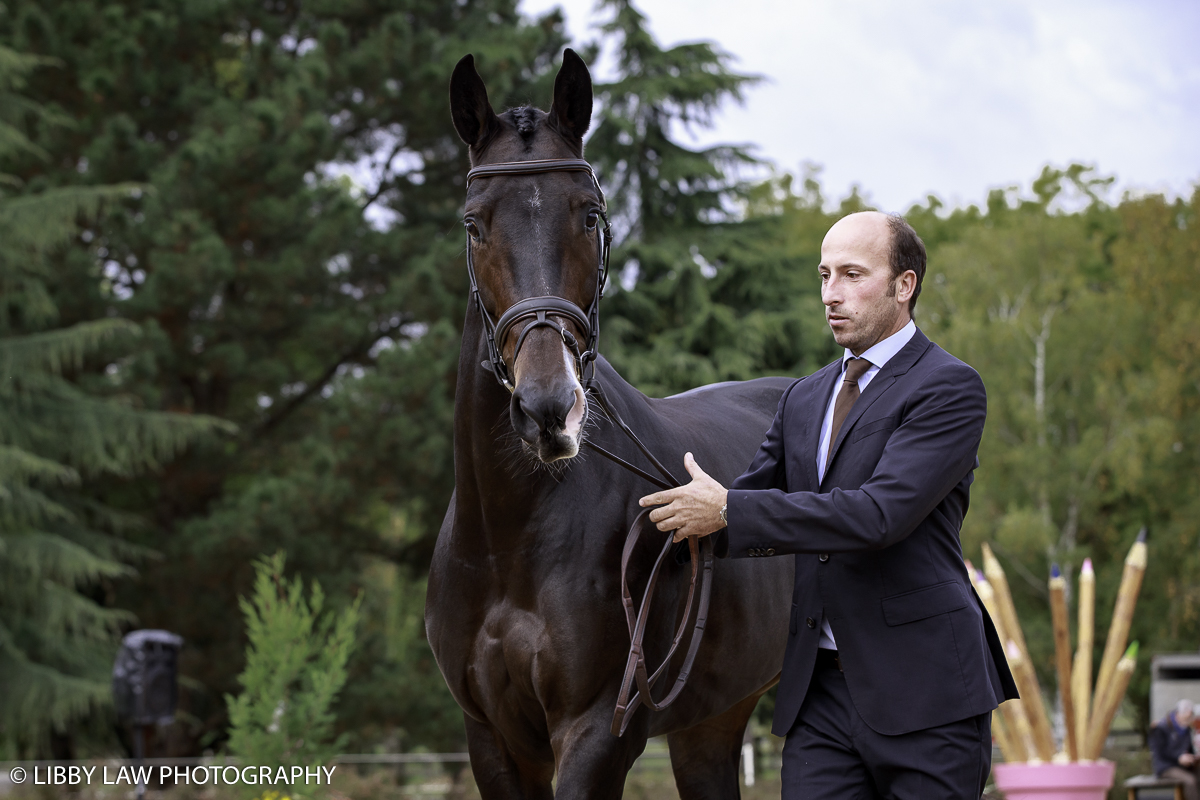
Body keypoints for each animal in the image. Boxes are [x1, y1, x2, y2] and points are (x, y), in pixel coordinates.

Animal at [429, 48, 796, 796]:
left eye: (590, 214)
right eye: (474, 223)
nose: (550, 411)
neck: (510, 535)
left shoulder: (599, 731)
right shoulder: (491, 740)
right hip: (711, 721)